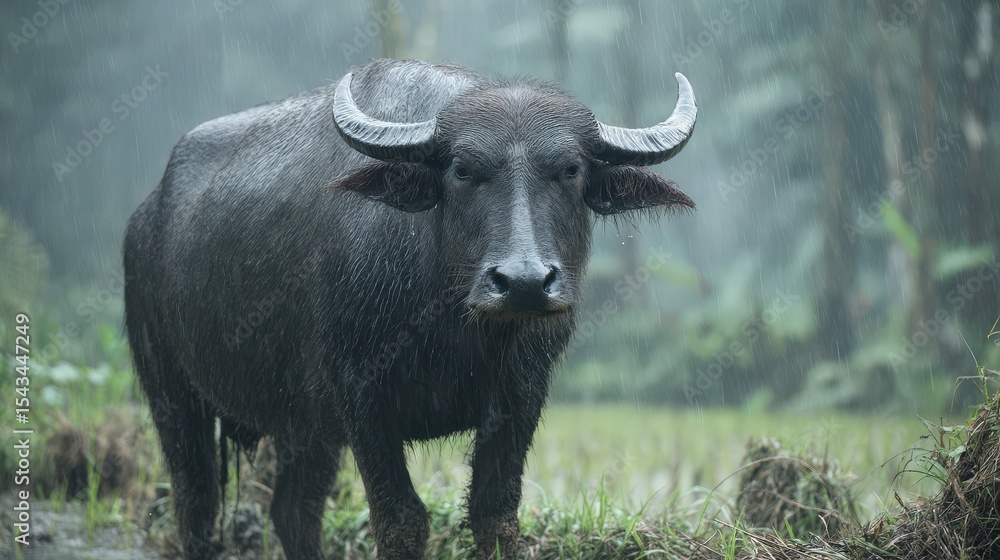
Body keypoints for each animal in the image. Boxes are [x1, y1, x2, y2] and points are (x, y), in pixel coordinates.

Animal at [124, 58, 696, 559]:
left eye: (571, 169)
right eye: (462, 170)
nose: (524, 283)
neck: (452, 324)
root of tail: (147, 214)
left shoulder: (523, 391)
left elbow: (494, 515)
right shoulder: (360, 393)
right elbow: (401, 521)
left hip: (304, 425)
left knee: (293, 511)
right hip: (172, 392)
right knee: (197, 508)